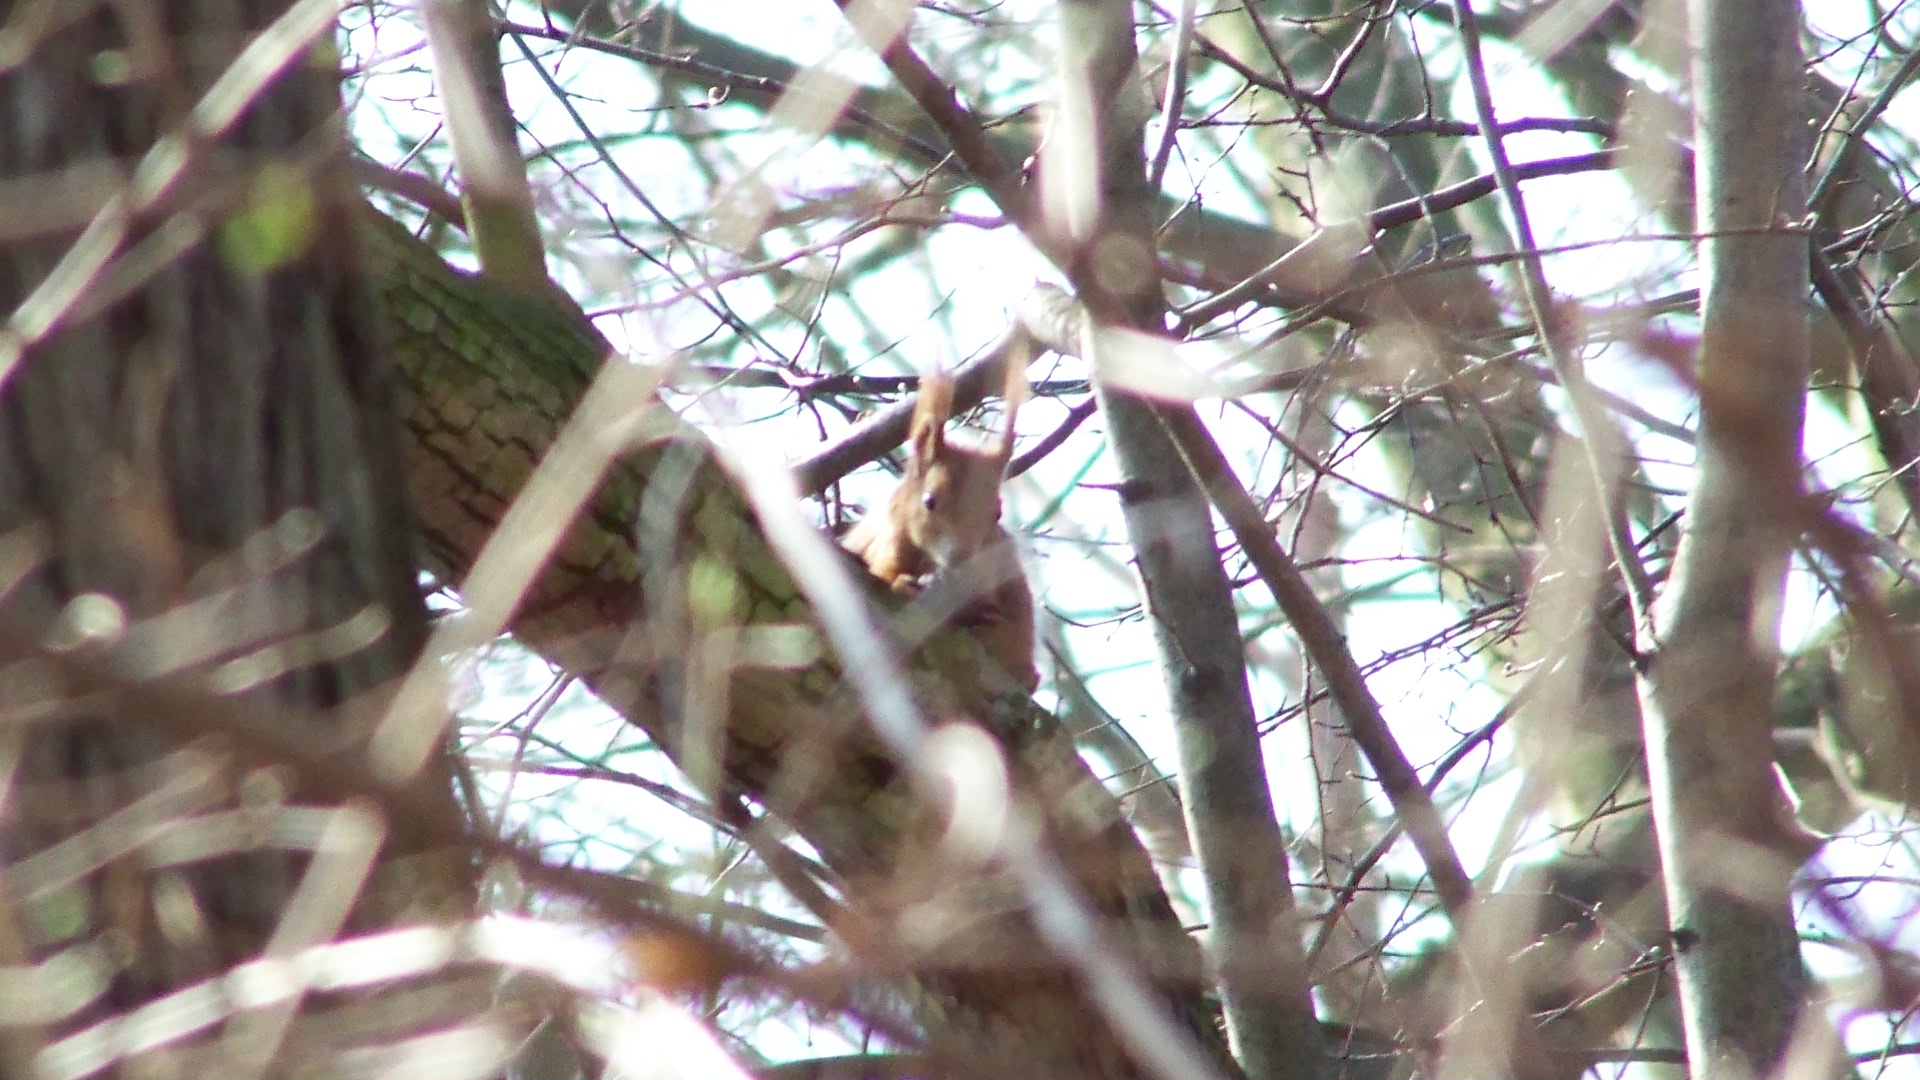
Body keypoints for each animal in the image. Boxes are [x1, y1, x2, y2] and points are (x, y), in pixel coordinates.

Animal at [844, 368, 1044, 687]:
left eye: (997, 513)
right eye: (929, 501)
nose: (961, 560)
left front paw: (986, 621)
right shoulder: (886, 547)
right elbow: (883, 573)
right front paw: (905, 585)